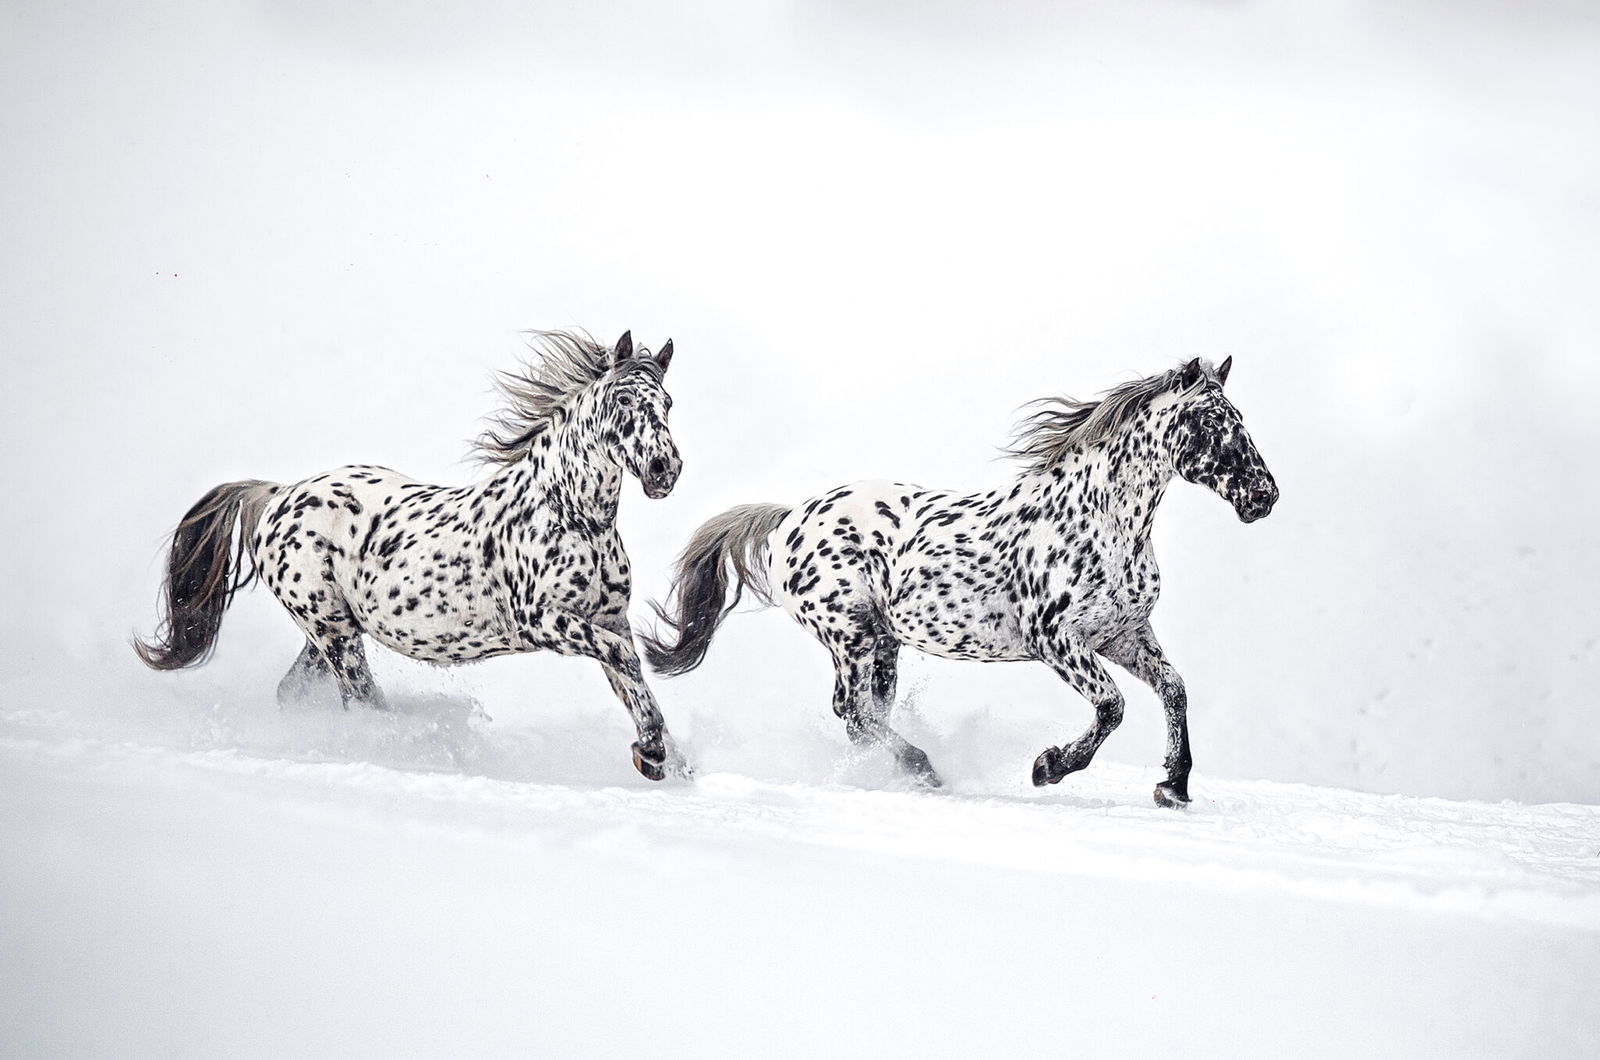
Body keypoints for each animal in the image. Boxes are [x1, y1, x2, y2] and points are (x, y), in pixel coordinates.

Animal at [135, 330, 691, 781]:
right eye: (623, 398)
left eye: (667, 403)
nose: (665, 469)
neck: (571, 514)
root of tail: (277, 495)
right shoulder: (542, 622)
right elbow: (626, 663)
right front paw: (652, 751)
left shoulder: (609, 621)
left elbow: (631, 677)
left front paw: (666, 759)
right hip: (334, 633)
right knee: (363, 704)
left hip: (329, 631)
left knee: (296, 693)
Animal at [643, 357, 1277, 806]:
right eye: (1211, 422)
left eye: (1240, 420)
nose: (1264, 497)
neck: (1100, 520)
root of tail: (789, 519)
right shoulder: (1056, 639)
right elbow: (1112, 706)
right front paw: (1048, 767)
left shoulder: (1122, 634)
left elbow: (1174, 689)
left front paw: (1174, 787)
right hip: (850, 636)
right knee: (855, 714)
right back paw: (926, 770)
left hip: (883, 643)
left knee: (865, 716)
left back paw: (913, 772)